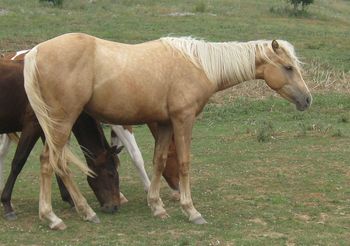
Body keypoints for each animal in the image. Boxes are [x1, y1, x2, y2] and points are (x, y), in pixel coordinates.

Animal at [24, 32, 312, 229]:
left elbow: (159, 161)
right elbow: (184, 163)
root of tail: (35, 51)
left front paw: (157, 206)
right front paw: (191, 211)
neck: (197, 65)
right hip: (61, 122)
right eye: (288, 68)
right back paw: (56, 217)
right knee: (51, 163)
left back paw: (79, 212)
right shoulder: (183, 119)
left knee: (54, 163)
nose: (307, 99)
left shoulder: (164, 123)